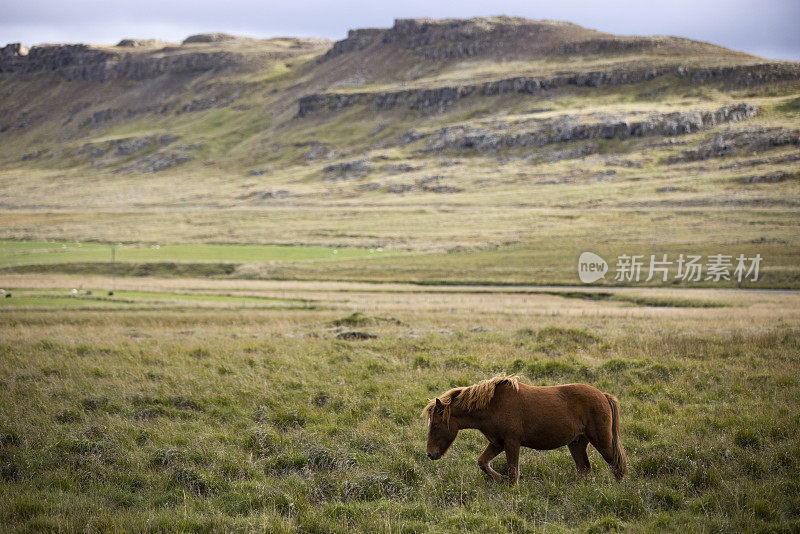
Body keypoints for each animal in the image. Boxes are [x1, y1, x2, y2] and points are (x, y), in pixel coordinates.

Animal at [422, 376, 628, 486]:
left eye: (436, 425)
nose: (430, 454)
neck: (493, 405)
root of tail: (603, 395)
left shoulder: (511, 443)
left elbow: (513, 473)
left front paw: (511, 484)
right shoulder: (497, 443)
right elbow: (483, 462)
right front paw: (501, 479)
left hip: (602, 440)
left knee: (616, 465)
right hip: (577, 443)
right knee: (584, 469)